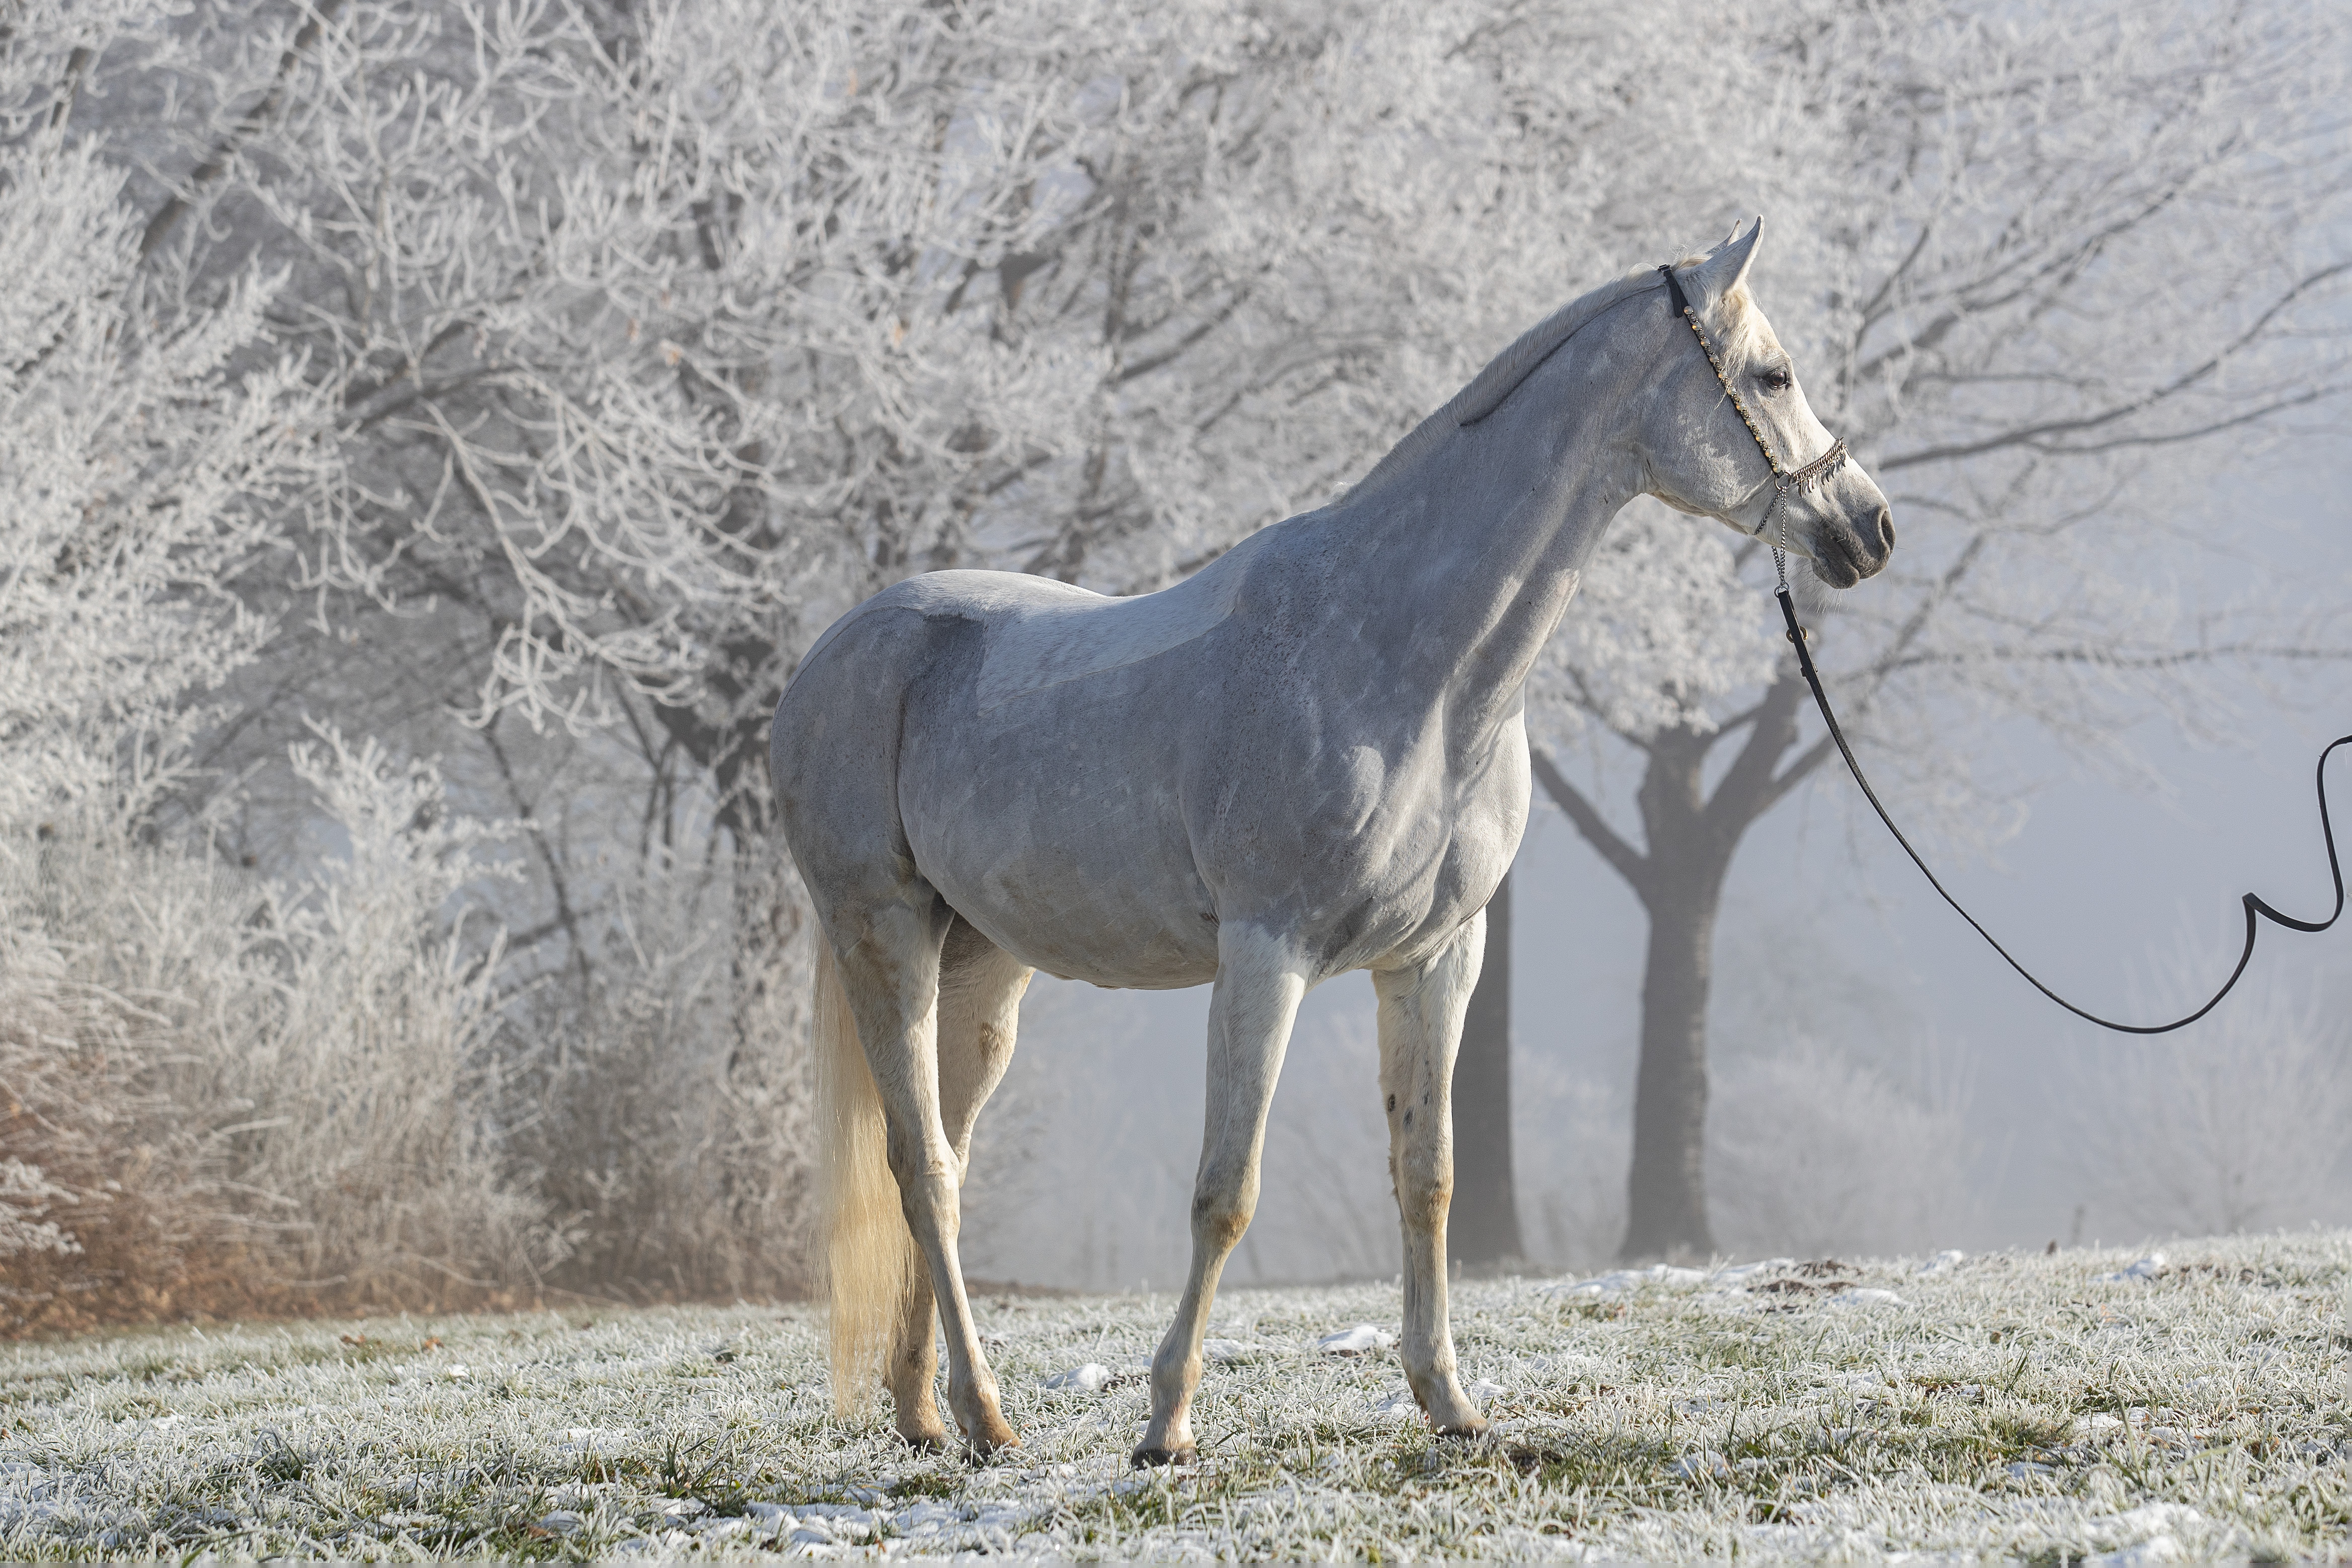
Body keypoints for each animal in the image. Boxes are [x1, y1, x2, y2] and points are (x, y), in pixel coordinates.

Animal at [771, 215, 1891, 1467]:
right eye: (1772, 375)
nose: (1868, 528)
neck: (1410, 659)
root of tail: (841, 650)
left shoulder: (1435, 960)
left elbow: (1427, 1177)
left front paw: (1448, 1401)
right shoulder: (1268, 955)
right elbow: (1226, 1189)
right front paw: (1165, 1424)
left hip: (981, 967)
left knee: (944, 1164)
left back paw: (939, 1414)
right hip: (883, 937)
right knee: (920, 1169)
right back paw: (985, 1411)